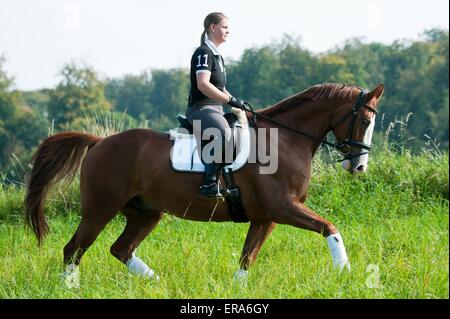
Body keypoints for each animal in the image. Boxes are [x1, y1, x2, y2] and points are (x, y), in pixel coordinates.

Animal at [23, 83, 384, 284]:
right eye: (366, 120)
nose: (359, 166)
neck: (285, 138)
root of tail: (99, 143)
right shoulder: (283, 208)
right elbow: (330, 228)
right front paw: (346, 272)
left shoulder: (265, 218)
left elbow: (247, 259)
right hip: (100, 210)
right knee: (73, 250)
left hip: (145, 213)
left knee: (121, 249)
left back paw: (156, 282)